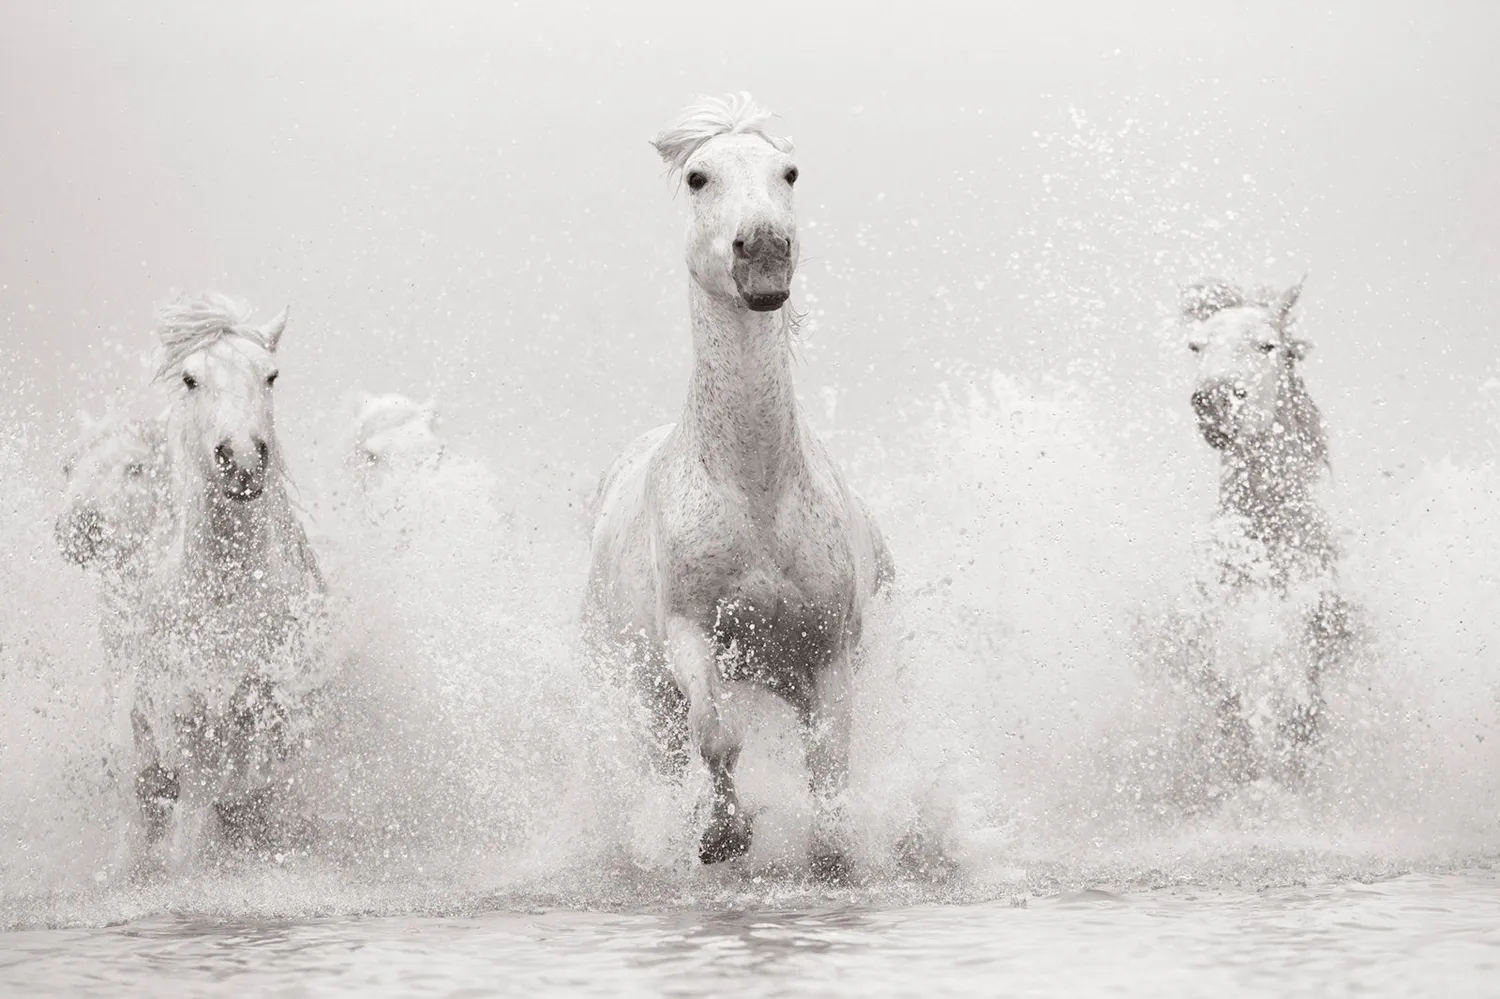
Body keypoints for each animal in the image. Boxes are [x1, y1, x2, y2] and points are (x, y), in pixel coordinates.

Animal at [133, 293, 326, 852]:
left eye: (272, 375)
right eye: (189, 379)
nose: (241, 459)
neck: (228, 591)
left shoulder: (273, 723)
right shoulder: (188, 724)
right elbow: (194, 826)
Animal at [583, 93, 894, 881]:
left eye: (789, 172)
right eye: (699, 176)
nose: (764, 251)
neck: (755, 490)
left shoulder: (829, 653)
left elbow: (830, 765)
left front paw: (829, 855)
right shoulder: (690, 633)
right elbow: (717, 734)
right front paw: (723, 836)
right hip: (641, 691)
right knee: (668, 757)